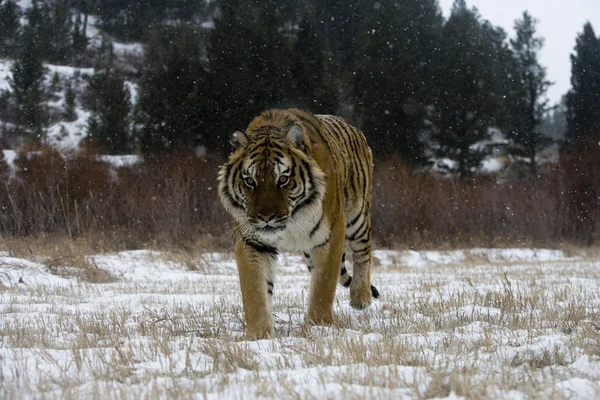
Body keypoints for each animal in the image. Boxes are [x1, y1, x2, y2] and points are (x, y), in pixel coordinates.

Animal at [218, 108, 378, 338]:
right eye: (250, 181)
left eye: (283, 179)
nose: (266, 217)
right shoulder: (252, 241)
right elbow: (254, 290)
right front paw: (258, 336)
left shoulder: (331, 235)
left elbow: (323, 286)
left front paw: (319, 327)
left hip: (357, 215)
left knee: (363, 251)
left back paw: (361, 297)